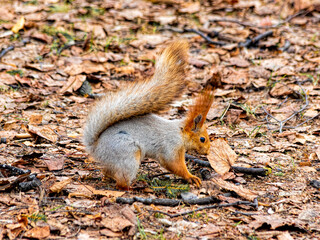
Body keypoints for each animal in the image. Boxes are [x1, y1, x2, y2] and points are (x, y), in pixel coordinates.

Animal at [84, 40, 215, 189]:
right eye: (202, 139)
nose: (208, 151)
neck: (180, 131)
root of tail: (95, 148)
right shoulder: (170, 146)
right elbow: (172, 164)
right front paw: (191, 177)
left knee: (108, 172)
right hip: (128, 155)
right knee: (121, 183)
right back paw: (134, 185)